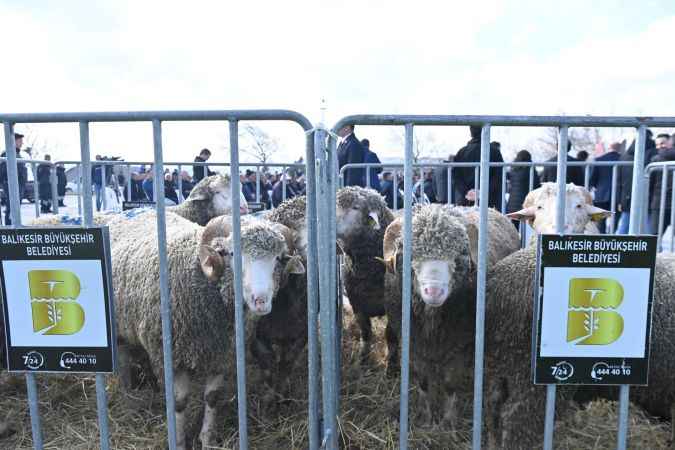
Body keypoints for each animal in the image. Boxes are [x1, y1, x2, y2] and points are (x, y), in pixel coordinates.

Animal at [109, 213, 304, 448]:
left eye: (278, 258)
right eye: (231, 253)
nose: (260, 301)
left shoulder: (222, 354)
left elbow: (212, 397)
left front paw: (208, 438)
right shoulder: (173, 356)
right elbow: (179, 402)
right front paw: (179, 441)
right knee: (122, 356)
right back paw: (128, 393)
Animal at [380, 204, 524, 426]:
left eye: (459, 254)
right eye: (410, 255)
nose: (434, 291)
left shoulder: (460, 346)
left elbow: (450, 384)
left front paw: (448, 420)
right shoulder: (414, 344)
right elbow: (423, 382)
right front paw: (426, 417)